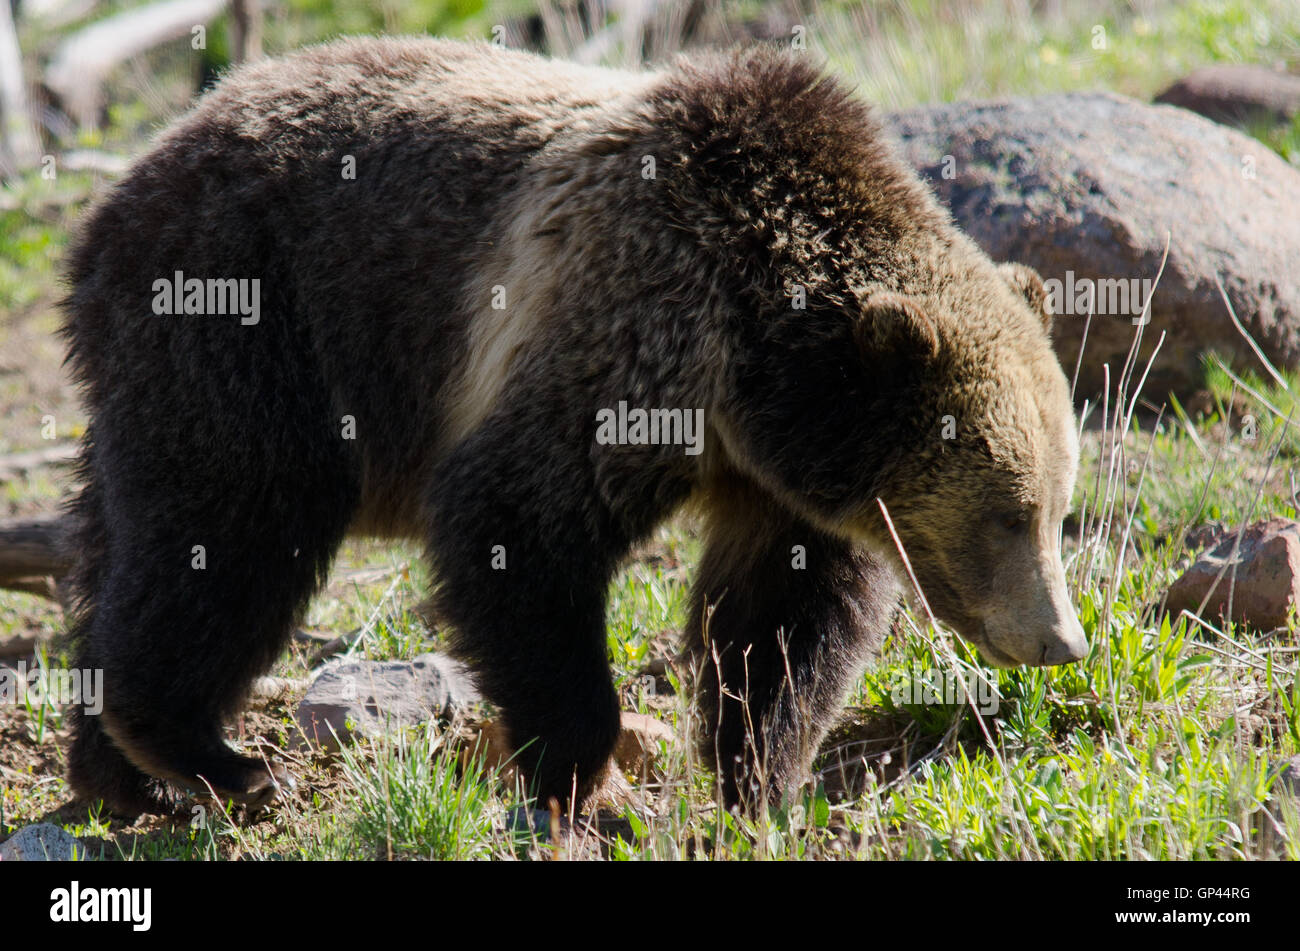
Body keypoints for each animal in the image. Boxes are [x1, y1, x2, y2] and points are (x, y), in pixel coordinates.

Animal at [61, 33, 1086, 815]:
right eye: (1008, 511)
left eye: (1055, 507)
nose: (1062, 641)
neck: (754, 362)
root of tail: (123, 188)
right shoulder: (629, 317)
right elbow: (518, 521)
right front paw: (576, 774)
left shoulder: (776, 478)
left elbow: (783, 621)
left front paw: (760, 778)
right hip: (250, 318)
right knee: (232, 526)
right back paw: (204, 754)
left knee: (120, 541)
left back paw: (119, 772)